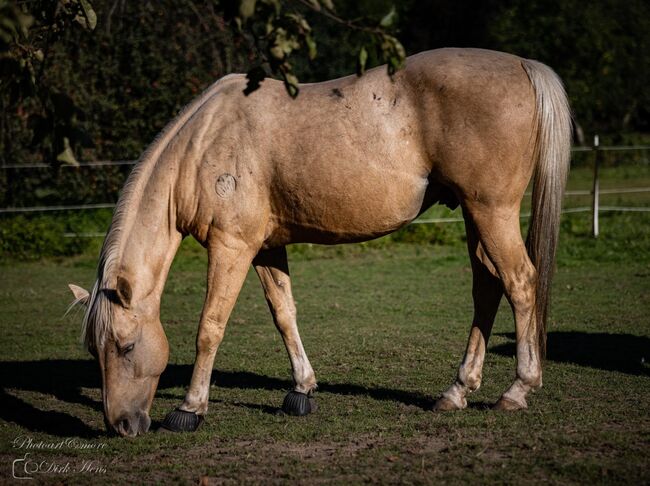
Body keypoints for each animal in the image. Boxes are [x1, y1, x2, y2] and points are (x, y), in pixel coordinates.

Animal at [68, 48, 568, 436]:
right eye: (95, 350)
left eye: (125, 347)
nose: (122, 425)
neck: (206, 142)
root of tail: (522, 65)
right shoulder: (265, 248)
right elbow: (284, 314)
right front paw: (302, 390)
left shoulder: (231, 247)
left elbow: (210, 327)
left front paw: (191, 408)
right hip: (473, 212)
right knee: (487, 287)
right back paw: (457, 391)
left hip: (491, 210)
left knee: (520, 282)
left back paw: (517, 390)